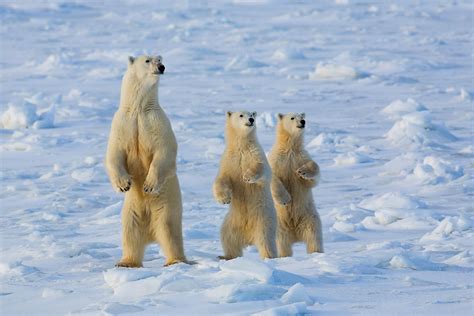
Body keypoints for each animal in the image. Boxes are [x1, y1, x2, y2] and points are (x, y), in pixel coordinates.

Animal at [105, 55, 187, 266]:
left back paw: (175, 261)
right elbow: (114, 153)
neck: (139, 109)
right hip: (131, 210)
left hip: (167, 206)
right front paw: (123, 184)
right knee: (130, 233)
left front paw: (149, 185)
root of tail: (150, 235)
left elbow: (164, 151)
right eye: (147, 60)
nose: (161, 67)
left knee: (169, 230)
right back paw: (126, 262)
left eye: (160, 58)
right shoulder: (123, 123)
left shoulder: (156, 122)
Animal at [212, 111, 276, 260]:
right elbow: (223, 179)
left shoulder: (255, 154)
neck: (242, 145)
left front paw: (247, 176)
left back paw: (268, 257)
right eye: (241, 115)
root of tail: (249, 238)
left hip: (263, 220)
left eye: (252, 114)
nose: (251, 119)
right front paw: (224, 199)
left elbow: (263, 170)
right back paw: (225, 256)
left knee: (265, 241)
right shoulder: (230, 159)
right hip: (232, 223)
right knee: (228, 238)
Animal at [268, 112, 324, 256]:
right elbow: (272, 178)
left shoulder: (300, 157)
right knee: (282, 243)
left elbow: (313, 177)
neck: (290, 148)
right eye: (292, 117)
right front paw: (285, 199)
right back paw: (284, 255)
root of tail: (295, 235)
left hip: (309, 217)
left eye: (302, 116)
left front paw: (302, 171)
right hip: (280, 224)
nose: (303, 122)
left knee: (313, 237)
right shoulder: (277, 159)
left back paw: (316, 252)